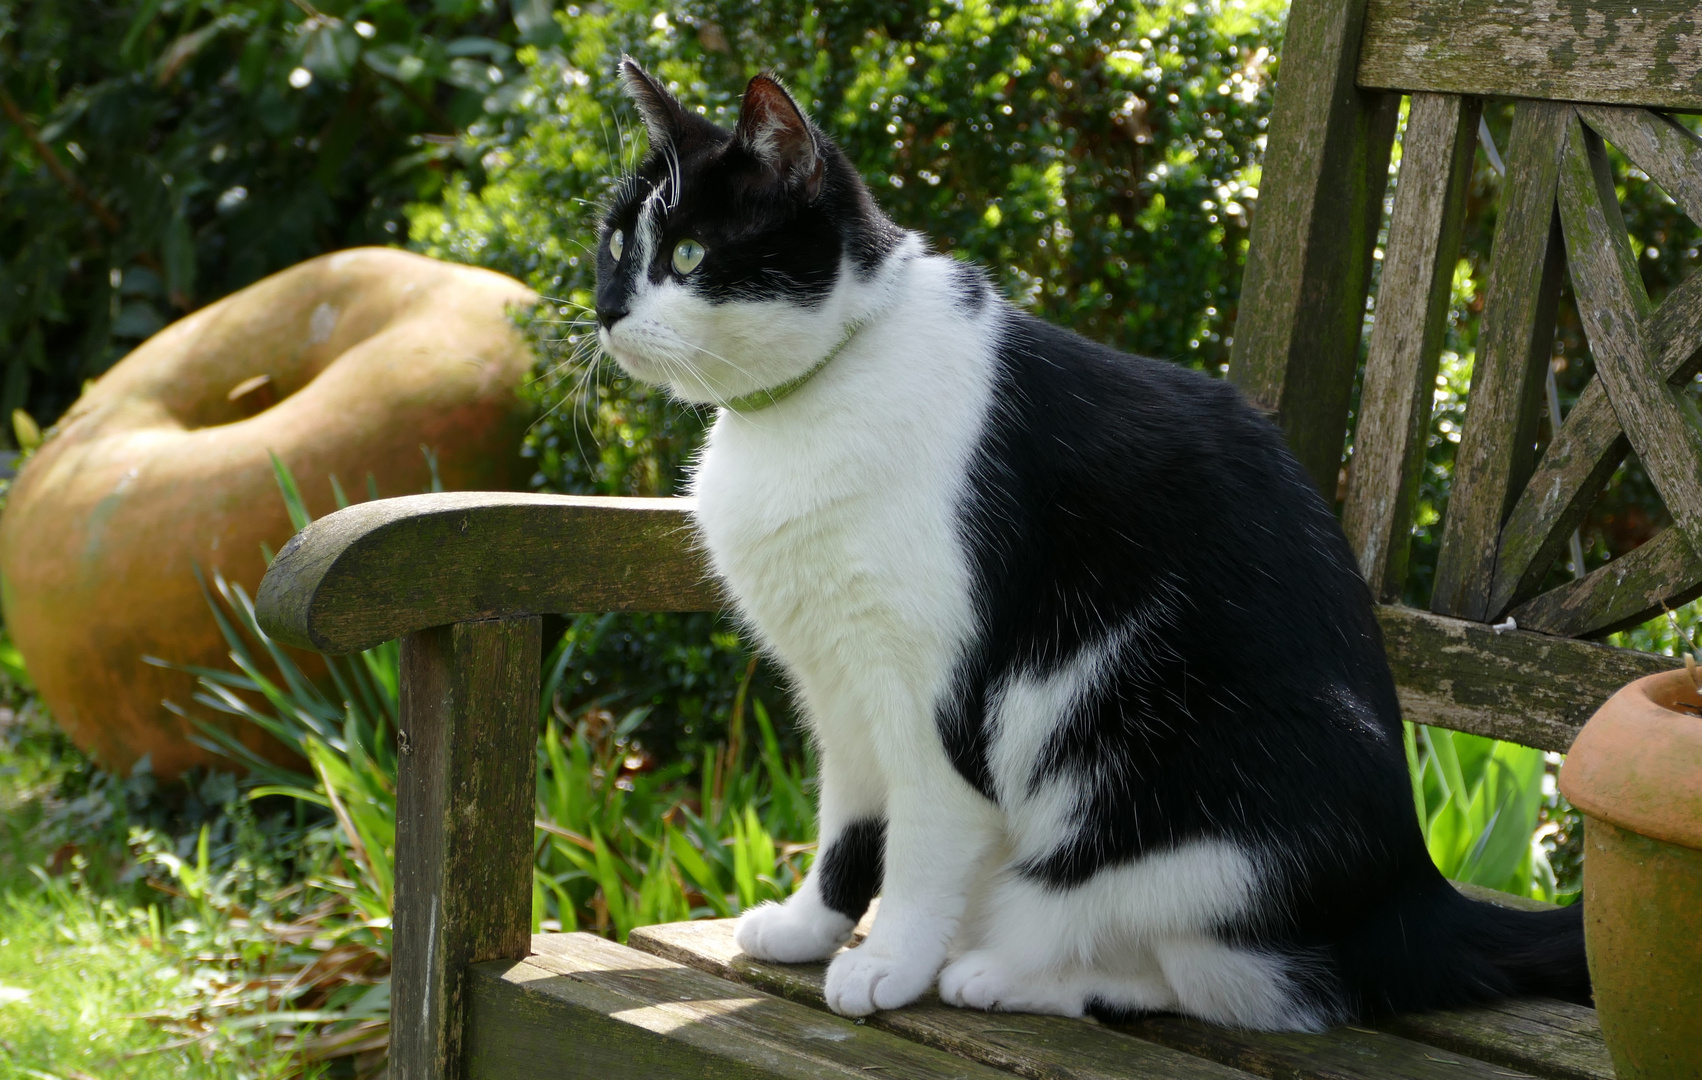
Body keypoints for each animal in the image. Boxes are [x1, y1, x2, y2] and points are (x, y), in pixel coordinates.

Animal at [592, 61, 1586, 1034]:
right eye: (612, 245)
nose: (604, 309)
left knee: (1217, 980)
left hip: (1198, 802)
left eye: (687, 254)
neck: (808, 401)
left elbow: (919, 838)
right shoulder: (837, 684)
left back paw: (995, 973)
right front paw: (807, 927)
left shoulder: (930, 691)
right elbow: (849, 822)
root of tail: (1422, 897)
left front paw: (889, 962)